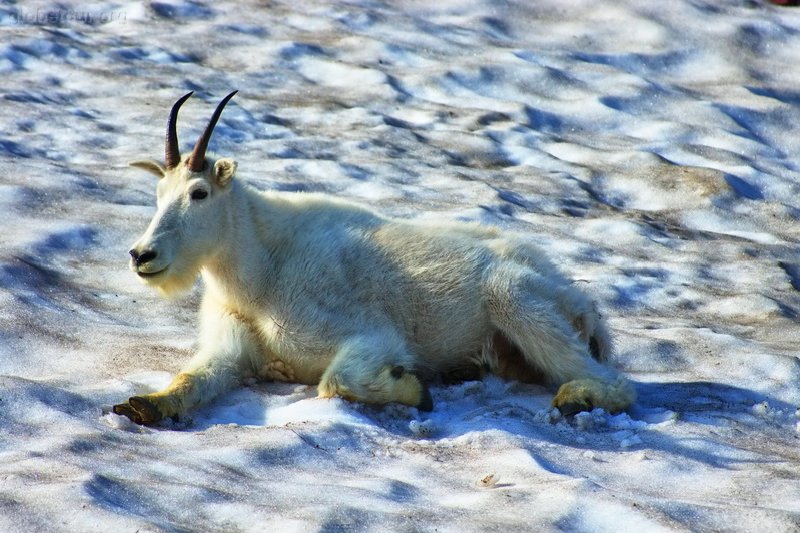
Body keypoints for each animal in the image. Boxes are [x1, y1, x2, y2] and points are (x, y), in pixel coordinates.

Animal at [114, 90, 636, 424]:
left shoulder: (370, 336)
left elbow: (338, 379)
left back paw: (575, 398)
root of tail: (580, 302)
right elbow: (192, 377)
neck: (259, 270)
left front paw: (415, 389)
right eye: (158, 193)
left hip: (516, 300)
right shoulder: (231, 349)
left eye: (199, 193)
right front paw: (143, 404)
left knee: (613, 381)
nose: (142, 255)